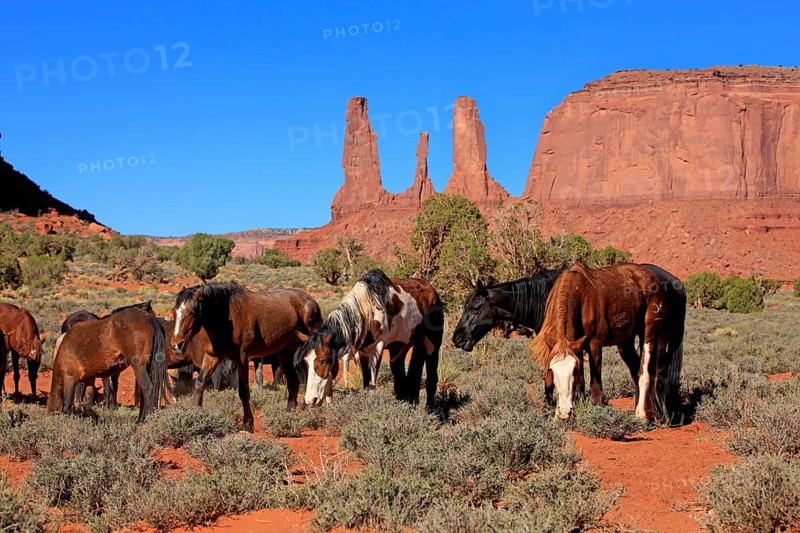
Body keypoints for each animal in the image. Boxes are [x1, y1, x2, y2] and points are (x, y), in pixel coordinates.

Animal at [171, 284, 322, 432]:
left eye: (192, 312)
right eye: (174, 312)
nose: (176, 344)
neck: (225, 319)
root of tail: (311, 300)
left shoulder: (241, 359)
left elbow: (243, 391)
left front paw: (247, 425)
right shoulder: (212, 357)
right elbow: (199, 383)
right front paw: (196, 416)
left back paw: (307, 406)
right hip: (285, 352)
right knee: (293, 382)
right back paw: (289, 415)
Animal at [294, 269, 444, 410]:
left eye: (324, 360)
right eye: (305, 362)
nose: (311, 400)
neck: (366, 311)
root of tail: (431, 290)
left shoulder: (377, 349)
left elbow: (372, 386)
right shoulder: (363, 352)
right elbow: (366, 385)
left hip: (432, 343)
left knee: (431, 377)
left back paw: (430, 410)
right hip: (400, 349)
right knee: (404, 379)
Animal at [531, 263, 682, 421]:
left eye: (574, 370)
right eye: (552, 370)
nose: (565, 412)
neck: (579, 293)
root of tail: (651, 276)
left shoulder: (594, 345)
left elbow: (595, 385)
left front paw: (597, 413)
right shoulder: (574, 346)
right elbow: (562, 383)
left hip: (649, 334)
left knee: (645, 372)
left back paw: (643, 414)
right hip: (625, 343)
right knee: (636, 370)